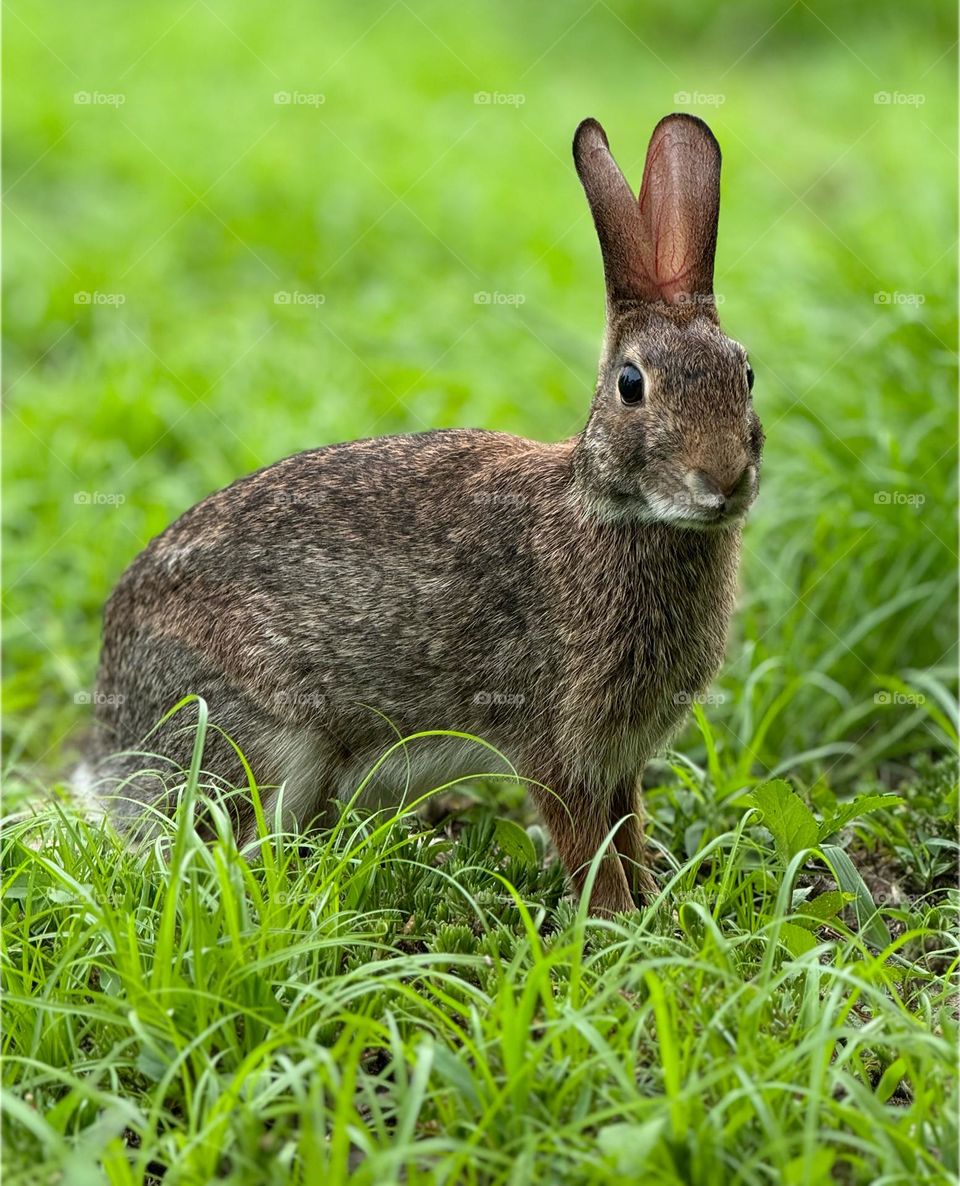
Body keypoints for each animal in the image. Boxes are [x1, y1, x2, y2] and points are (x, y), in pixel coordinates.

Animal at [82, 112, 763, 916]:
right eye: (632, 385)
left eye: (745, 373)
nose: (724, 480)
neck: (611, 507)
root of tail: (112, 738)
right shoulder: (558, 748)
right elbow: (587, 845)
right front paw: (616, 922)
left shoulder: (618, 760)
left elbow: (626, 830)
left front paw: (656, 907)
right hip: (266, 744)